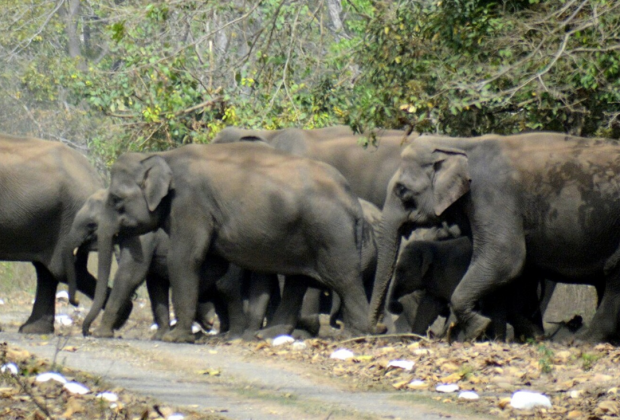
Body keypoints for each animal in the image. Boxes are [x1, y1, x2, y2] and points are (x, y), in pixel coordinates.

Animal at [94, 143, 370, 342]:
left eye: (116, 199)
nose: (91, 332)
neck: (161, 156)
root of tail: (352, 198)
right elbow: (212, 265)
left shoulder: (190, 203)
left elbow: (184, 259)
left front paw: (176, 338)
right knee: (298, 281)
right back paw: (265, 334)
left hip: (331, 233)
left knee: (344, 277)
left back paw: (357, 334)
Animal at [388, 236, 544, 342]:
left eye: (401, 271)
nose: (397, 306)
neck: (433, 246)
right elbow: (428, 307)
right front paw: (413, 339)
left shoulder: (455, 272)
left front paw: (446, 338)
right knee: (513, 312)